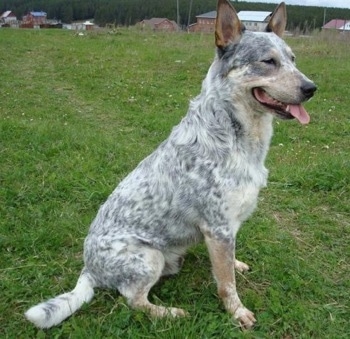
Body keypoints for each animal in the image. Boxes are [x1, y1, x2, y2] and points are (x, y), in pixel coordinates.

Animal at [23, 0, 314, 330]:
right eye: (268, 61)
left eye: (293, 59)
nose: (311, 88)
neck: (236, 135)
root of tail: (88, 269)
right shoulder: (218, 227)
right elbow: (226, 284)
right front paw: (237, 312)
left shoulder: (227, 229)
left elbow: (228, 265)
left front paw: (236, 264)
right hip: (149, 258)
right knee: (134, 301)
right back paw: (171, 313)